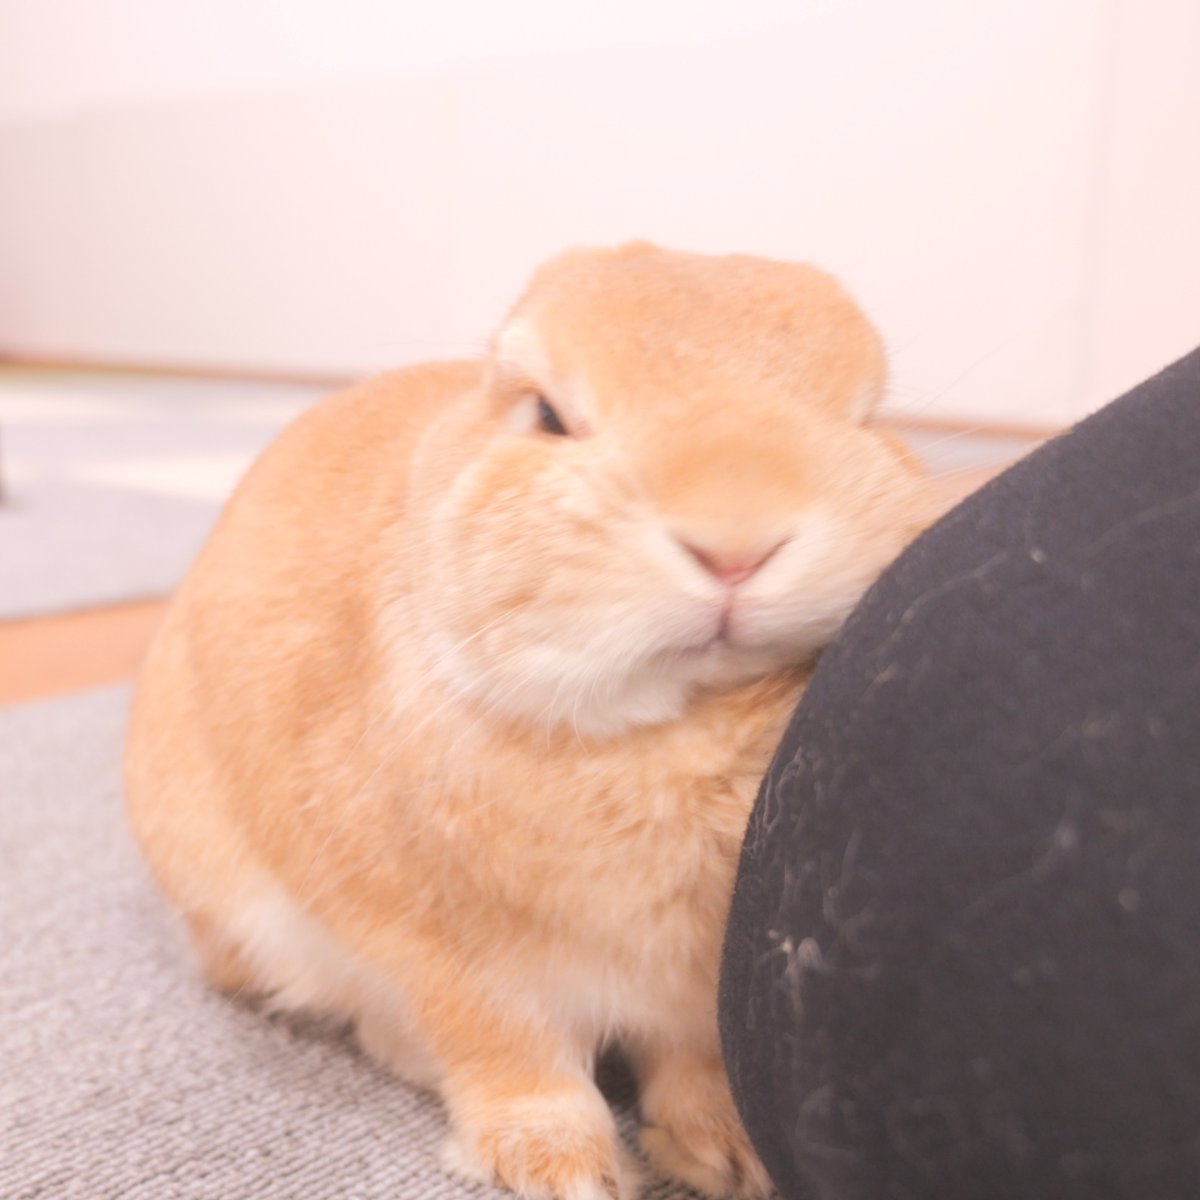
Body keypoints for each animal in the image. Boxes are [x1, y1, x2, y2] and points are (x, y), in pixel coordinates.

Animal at [125, 242, 935, 1200]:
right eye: (549, 416)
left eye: (869, 419)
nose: (736, 541)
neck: (673, 722)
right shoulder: (454, 963)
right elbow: (513, 1057)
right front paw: (560, 1170)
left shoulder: (690, 992)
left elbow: (693, 1060)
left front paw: (724, 1154)